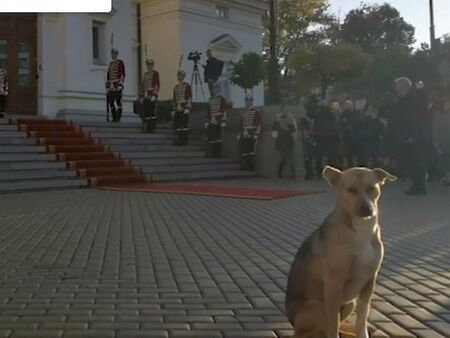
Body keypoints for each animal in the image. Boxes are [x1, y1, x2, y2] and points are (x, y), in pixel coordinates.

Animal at [286, 166, 396, 338]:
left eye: (371, 188)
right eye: (351, 190)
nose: (367, 209)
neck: (360, 230)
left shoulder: (369, 282)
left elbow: (361, 320)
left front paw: (362, 332)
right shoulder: (334, 284)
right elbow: (333, 324)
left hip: (350, 302)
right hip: (319, 306)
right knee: (315, 331)